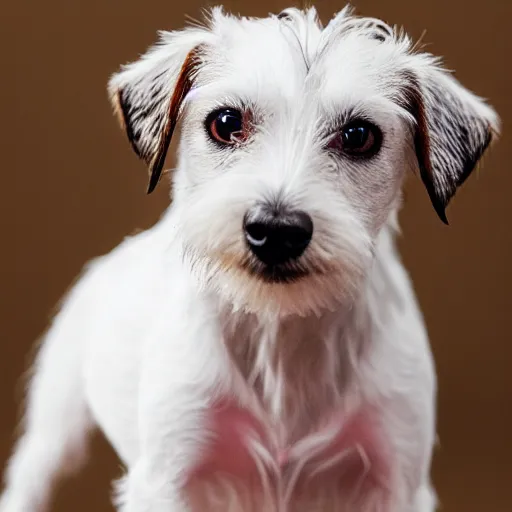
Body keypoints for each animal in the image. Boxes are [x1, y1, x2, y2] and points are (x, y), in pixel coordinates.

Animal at [0, 5, 500, 512]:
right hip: (54, 426)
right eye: (225, 122)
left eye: (359, 135)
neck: (279, 333)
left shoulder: (396, 477)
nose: (276, 231)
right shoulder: (169, 474)